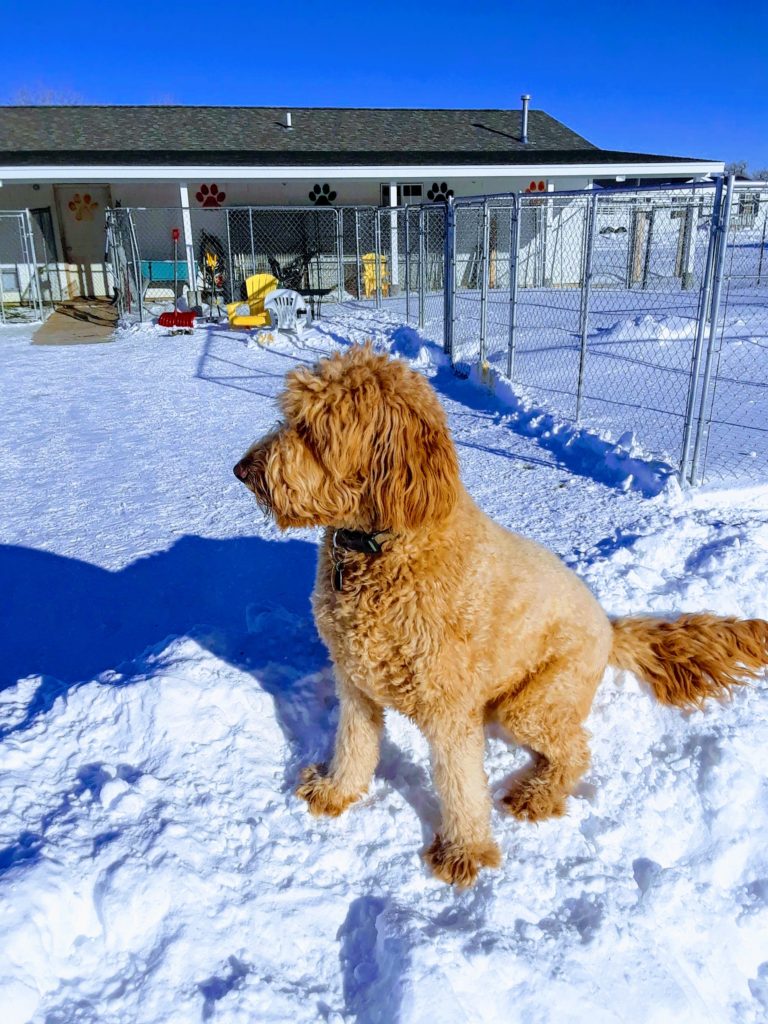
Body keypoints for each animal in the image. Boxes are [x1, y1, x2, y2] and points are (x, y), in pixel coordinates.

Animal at [234, 346, 768, 888]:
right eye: (289, 415)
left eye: (312, 430)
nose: (242, 469)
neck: (387, 544)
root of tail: (609, 626)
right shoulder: (355, 681)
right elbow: (354, 745)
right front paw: (336, 791)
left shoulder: (449, 707)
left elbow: (461, 784)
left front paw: (463, 851)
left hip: (535, 701)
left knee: (576, 750)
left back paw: (538, 794)